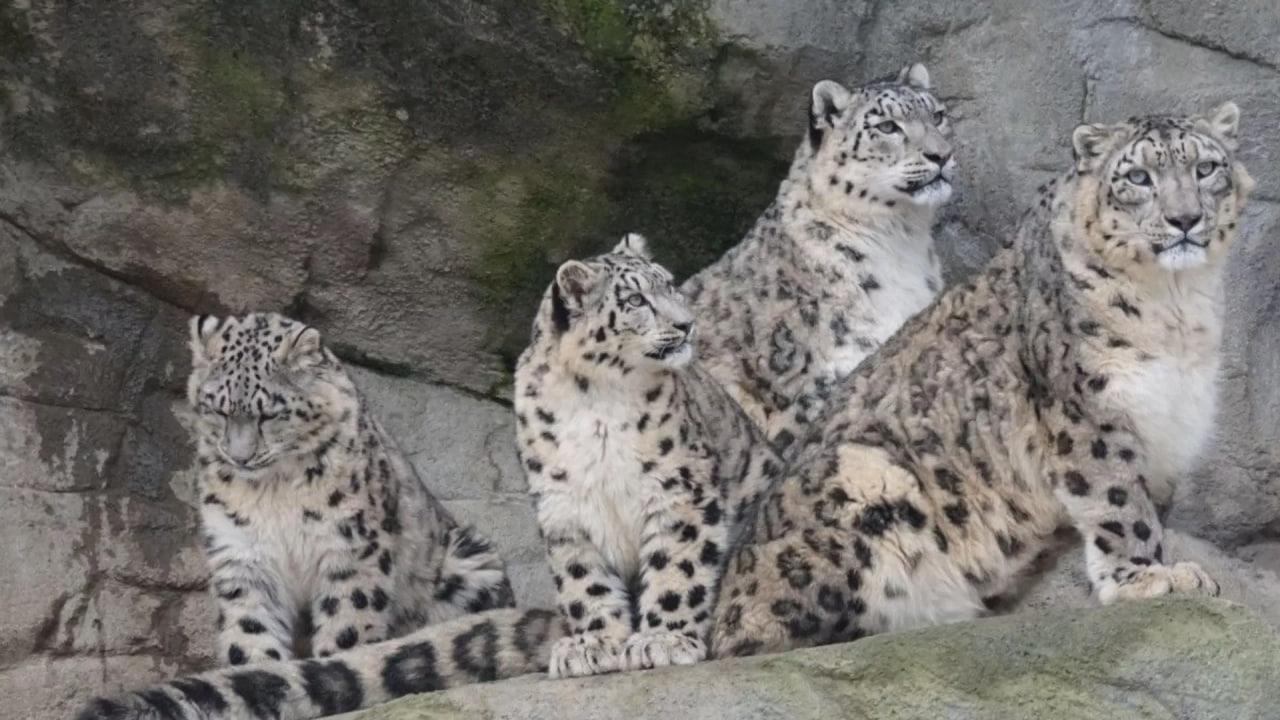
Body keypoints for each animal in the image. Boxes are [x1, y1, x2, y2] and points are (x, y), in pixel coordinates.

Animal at [184, 313, 514, 666]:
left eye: (269, 414)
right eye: (218, 409)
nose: (240, 456)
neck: (273, 491)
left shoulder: (351, 541)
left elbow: (348, 617)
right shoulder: (241, 550)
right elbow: (249, 624)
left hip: (469, 561)